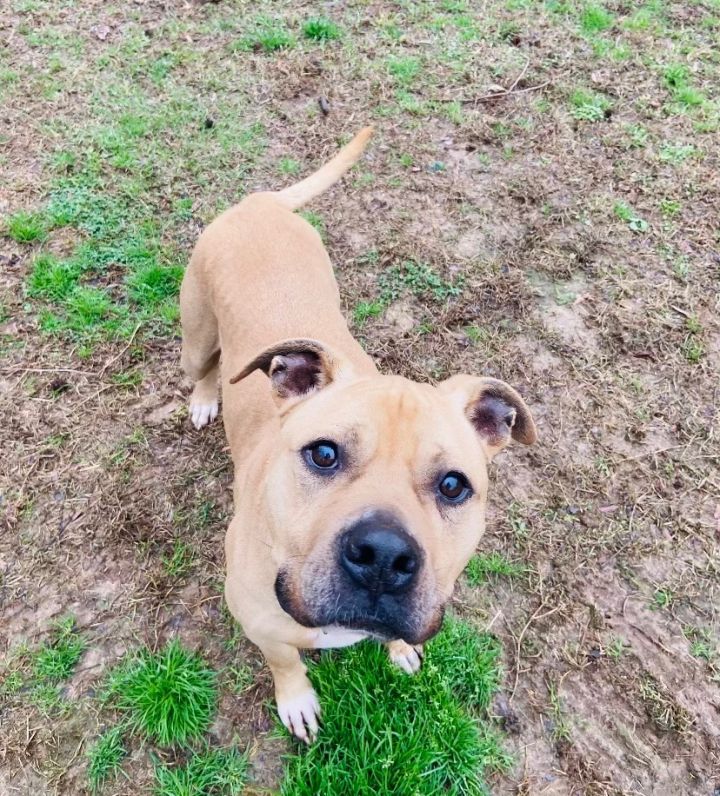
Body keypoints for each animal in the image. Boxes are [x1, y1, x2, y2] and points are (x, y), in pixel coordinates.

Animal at [179, 127, 536, 744]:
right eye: (323, 454)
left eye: (453, 486)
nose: (383, 557)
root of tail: (259, 203)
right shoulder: (258, 621)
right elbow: (286, 661)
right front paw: (296, 700)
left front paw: (398, 650)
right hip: (196, 333)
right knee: (206, 366)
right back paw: (203, 398)